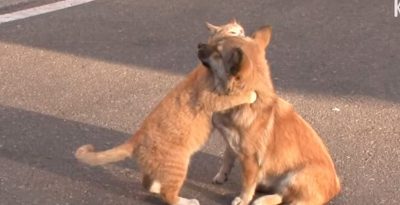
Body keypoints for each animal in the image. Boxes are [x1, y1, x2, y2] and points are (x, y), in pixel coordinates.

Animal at [200, 27, 340, 205]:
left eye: (218, 52)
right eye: (215, 41)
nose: (198, 45)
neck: (247, 101)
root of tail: (336, 187)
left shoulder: (251, 160)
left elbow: (247, 184)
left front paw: (243, 199)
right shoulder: (231, 144)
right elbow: (227, 159)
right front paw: (221, 176)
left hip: (296, 176)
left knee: (287, 198)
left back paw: (263, 199)